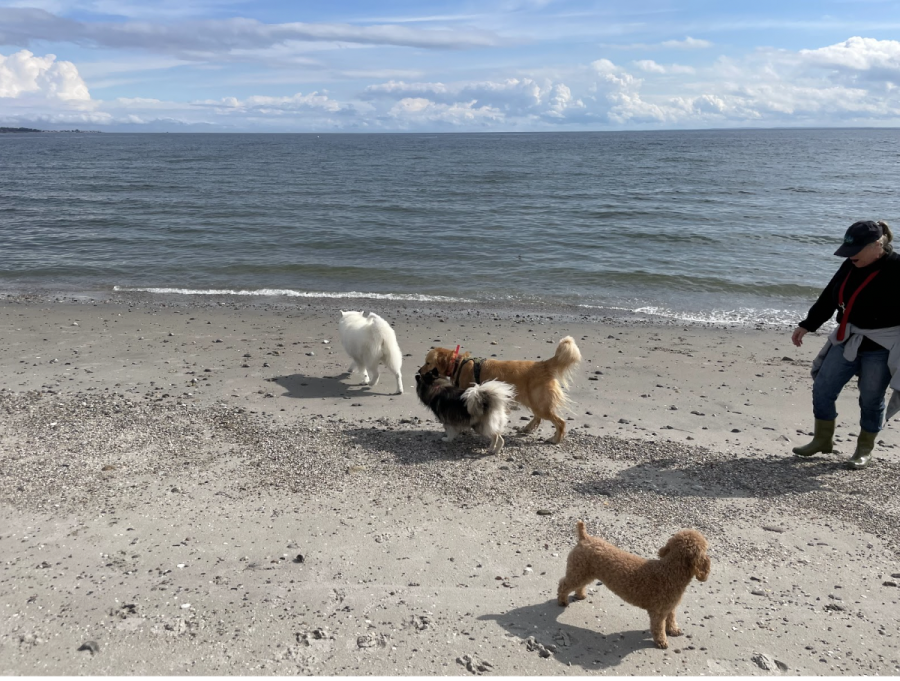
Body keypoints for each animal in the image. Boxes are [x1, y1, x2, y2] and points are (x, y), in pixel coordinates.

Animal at [418, 336, 580, 444]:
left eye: (428, 362)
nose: (419, 371)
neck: (458, 364)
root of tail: (543, 364)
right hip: (533, 400)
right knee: (538, 417)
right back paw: (527, 428)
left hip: (539, 403)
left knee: (560, 422)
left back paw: (555, 439)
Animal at [556, 520, 712, 648]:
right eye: (705, 547)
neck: (670, 570)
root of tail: (585, 537)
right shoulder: (658, 612)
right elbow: (658, 628)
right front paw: (661, 641)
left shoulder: (670, 607)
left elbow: (671, 619)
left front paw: (673, 630)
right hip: (578, 572)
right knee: (563, 584)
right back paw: (562, 600)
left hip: (584, 572)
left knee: (577, 585)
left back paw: (580, 595)